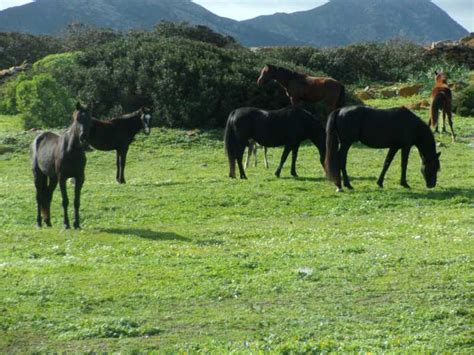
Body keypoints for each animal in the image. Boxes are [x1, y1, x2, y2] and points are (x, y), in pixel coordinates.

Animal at [32, 103, 92, 231]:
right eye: (77, 119)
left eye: (89, 118)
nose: (83, 137)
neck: (72, 151)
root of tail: (39, 137)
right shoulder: (62, 178)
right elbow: (65, 201)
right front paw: (66, 224)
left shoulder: (80, 178)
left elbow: (76, 201)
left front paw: (77, 224)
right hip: (38, 176)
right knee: (39, 197)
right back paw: (39, 222)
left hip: (52, 178)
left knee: (47, 195)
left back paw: (48, 221)